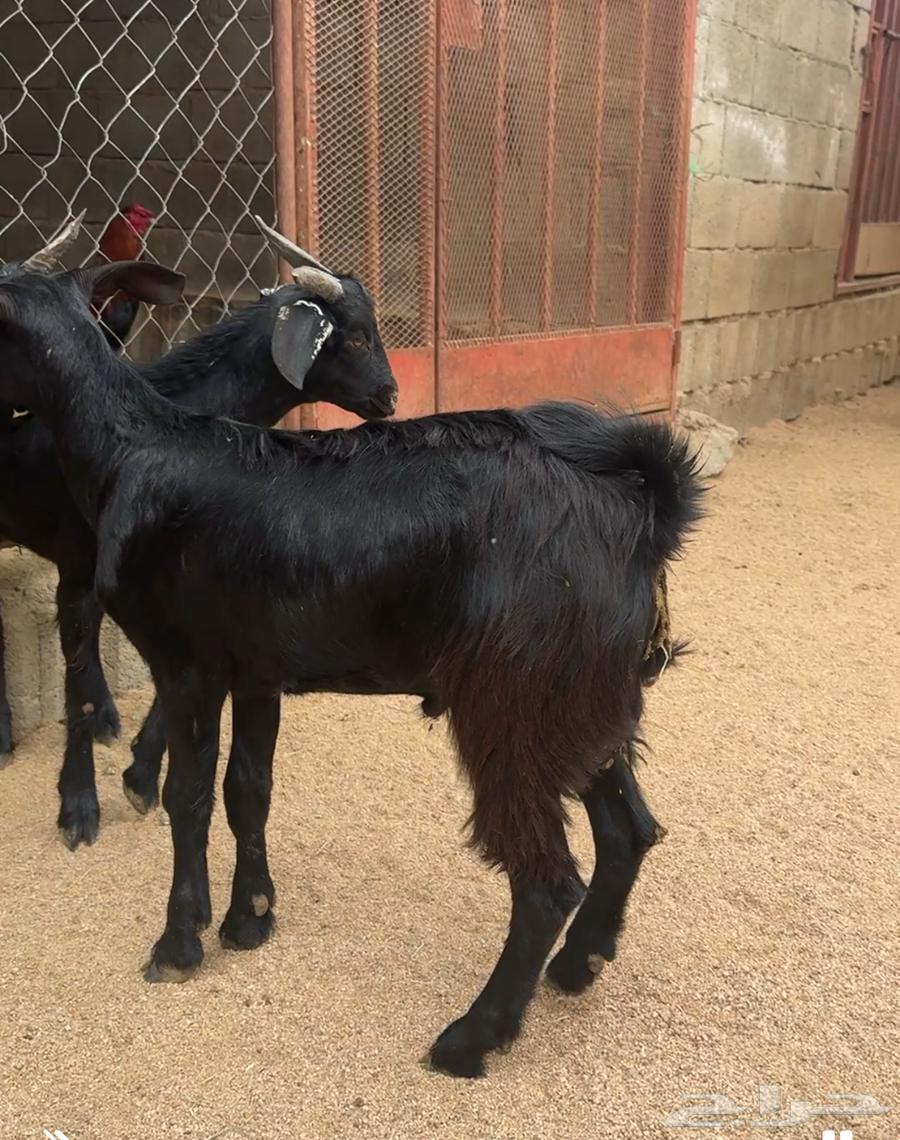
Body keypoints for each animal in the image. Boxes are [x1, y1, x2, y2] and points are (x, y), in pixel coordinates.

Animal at [0, 219, 397, 856]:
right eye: (356, 337)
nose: (390, 397)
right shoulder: (78, 571)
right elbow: (78, 681)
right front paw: (80, 805)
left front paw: (139, 770)